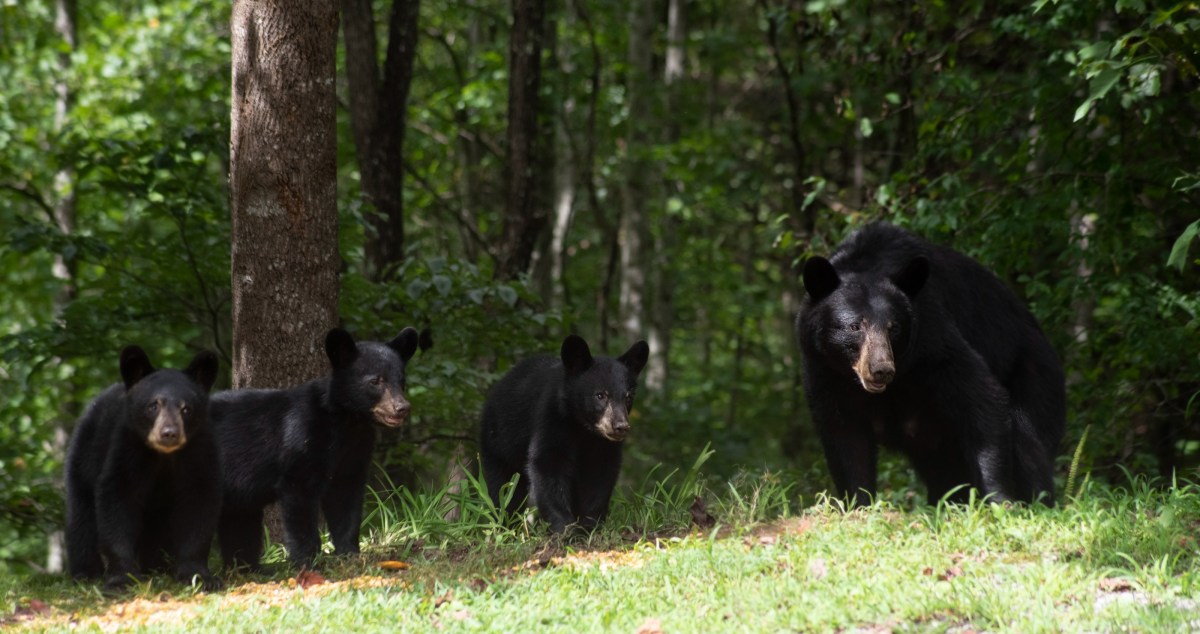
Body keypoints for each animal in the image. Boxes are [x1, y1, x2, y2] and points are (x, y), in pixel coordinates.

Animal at [65, 345, 221, 590]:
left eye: (186, 408)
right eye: (153, 405)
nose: (169, 433)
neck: (164, 456)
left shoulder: (199, 451)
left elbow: (199, 503)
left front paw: (198, 576)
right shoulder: (127, 449)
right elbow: (117, 501)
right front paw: (121, 578)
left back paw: (158, 566)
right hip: (84, 459)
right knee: (81, 518)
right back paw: (86, 573)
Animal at [210, 327, 419, 570]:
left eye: (401, 380)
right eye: (376, 380)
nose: (402, 408)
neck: (347, 421)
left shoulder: (355, 450)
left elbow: (345, 499)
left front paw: (349, 553)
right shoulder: (303, 438)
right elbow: (300, 498)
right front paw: (307, 561)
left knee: (240, 520)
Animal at [479, 335, 650, 533]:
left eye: (628, 397)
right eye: (600, 395)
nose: (620, 427)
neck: (583, 429)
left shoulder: (604, 446)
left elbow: (601, 476)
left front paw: (589, 525)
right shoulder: (551, 420)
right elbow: (547, 465)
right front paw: (565, 527)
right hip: (498, 443)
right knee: (503, 487)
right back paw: (506, 524)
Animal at [796, 223, 1065, 506]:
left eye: (894, 327)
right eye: (855, 326)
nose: (881, 370)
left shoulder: (933, 340)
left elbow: (982, 398)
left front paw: (998, 498)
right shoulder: (823, 368)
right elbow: (844, 435)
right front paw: (858, 503)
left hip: (1034, 372)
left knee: (1028, 441)